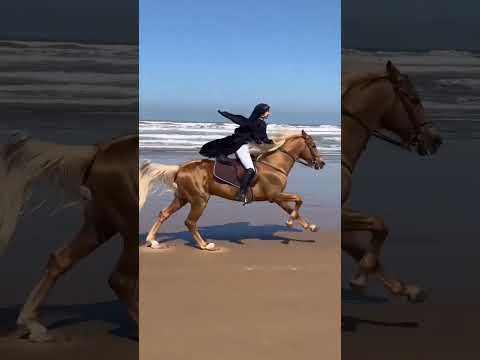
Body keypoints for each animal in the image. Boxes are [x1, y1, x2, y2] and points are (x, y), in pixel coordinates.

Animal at [0, 134, 139, 342]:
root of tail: (101, 151)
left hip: (100, 224)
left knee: (61, 260)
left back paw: (32, 324)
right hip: (128, 224)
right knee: (120, 280)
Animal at [140, 131, 326, 252]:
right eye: (313, 145)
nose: (321, 163)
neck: (274, 165)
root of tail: (180, 168)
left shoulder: (278, 198)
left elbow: (293, 208)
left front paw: (309, 226)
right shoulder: (274, 196)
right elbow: (299, 199)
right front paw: (290, 222)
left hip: (182, 198)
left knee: (164, 214)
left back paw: (152, 241)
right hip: (200, 200)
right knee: (190, 222)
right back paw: (205, 245)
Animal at [342, 61, 442, 300]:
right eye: (414, 99)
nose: (436, 139)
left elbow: (358, 246)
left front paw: (407, 290)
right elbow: (380, 225)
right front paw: (359, 279)